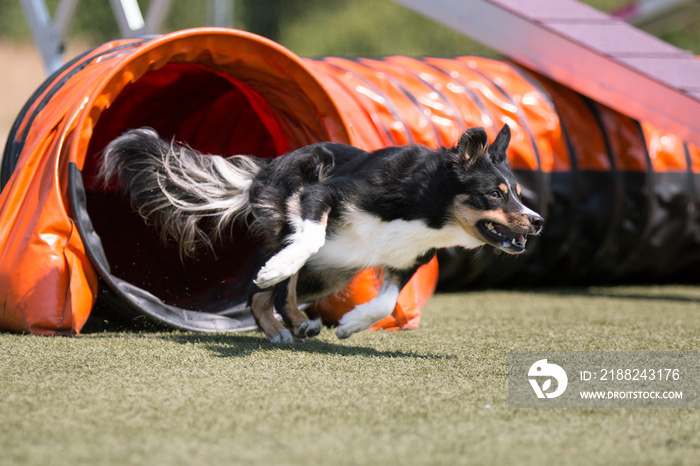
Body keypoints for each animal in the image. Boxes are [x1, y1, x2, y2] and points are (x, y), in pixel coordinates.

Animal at [100, 124, 540, 342]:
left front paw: (350, 325)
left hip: (334, 272)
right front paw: (277, 271)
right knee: (265, 287)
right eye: (494, 193)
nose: (537, 221)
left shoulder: (411, 258)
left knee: (277, 295)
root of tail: (264, 169)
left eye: (518, 193)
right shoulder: (323, 193)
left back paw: (296, 325)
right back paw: (280, 321)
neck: (429, 204)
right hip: (302, 198)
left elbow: (385, 303)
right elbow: (306, 242)